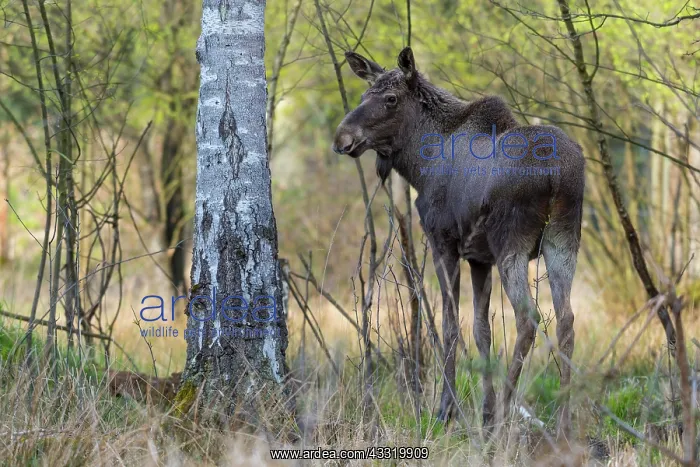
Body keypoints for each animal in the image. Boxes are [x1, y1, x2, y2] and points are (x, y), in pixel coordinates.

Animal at [332, 47, 585, 437]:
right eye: (363, 96)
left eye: (390, 99)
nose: (342, 138)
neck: (419, 166)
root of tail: (556, 174)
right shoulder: (480, 258)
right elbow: (482, 331)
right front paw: (484, 412)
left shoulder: (444, 244)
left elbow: (450, 327)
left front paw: (446, 412)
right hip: (563, 240)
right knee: (567, 320)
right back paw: (563, 423)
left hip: (511, 242)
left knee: (528, 317)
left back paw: (507, 417)